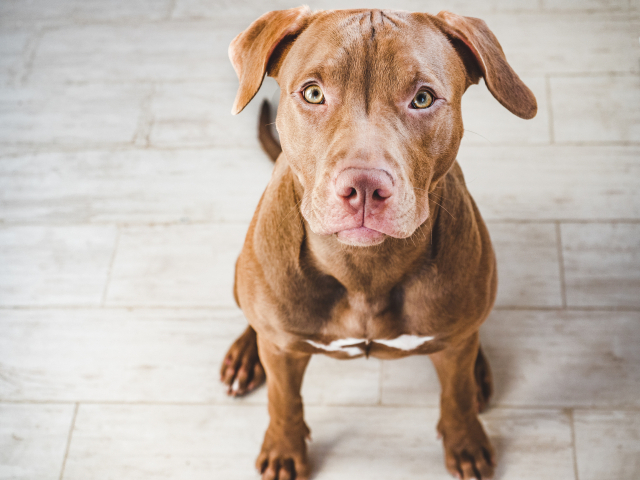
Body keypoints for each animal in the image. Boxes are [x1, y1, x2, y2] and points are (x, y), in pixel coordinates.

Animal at [220, 5, 536, 478]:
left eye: (422, 98)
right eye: (313, 93)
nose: (365, 187)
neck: (363, 268)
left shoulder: (453, 345)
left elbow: (457, 395)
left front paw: (465, 441)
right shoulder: (281, 353)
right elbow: (284, 399)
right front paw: (283, 448)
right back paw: (245, 354)